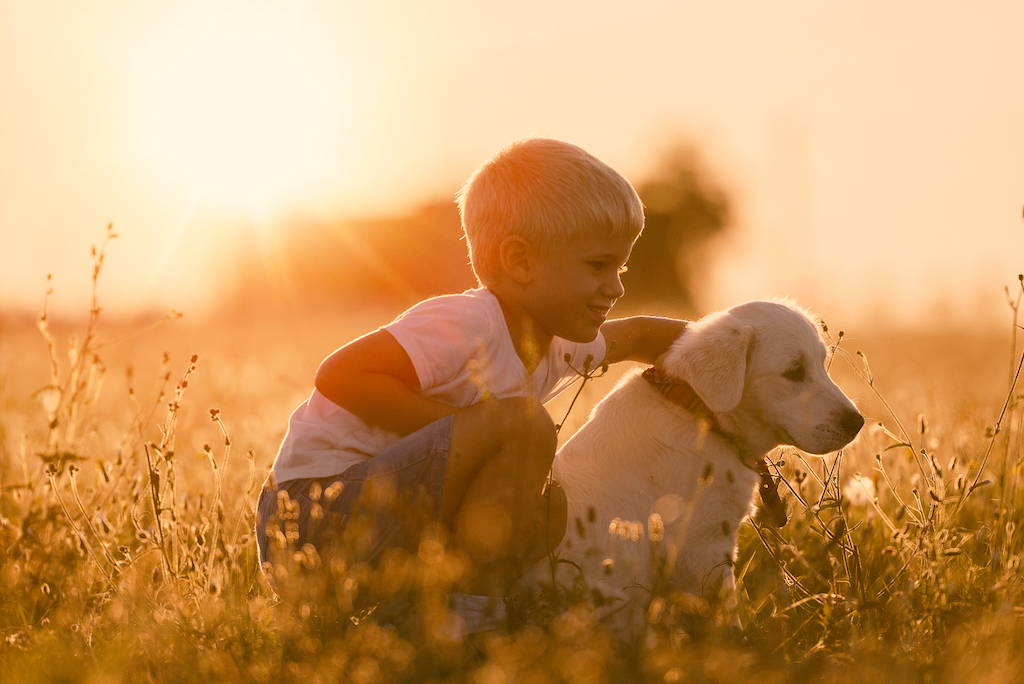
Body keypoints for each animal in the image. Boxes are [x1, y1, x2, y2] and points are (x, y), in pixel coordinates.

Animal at [544, 298, 864, 630]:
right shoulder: (701, 548)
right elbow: (723, 614)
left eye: (821, 364)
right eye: (794, 371)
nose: (858, 423)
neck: (701, 415)